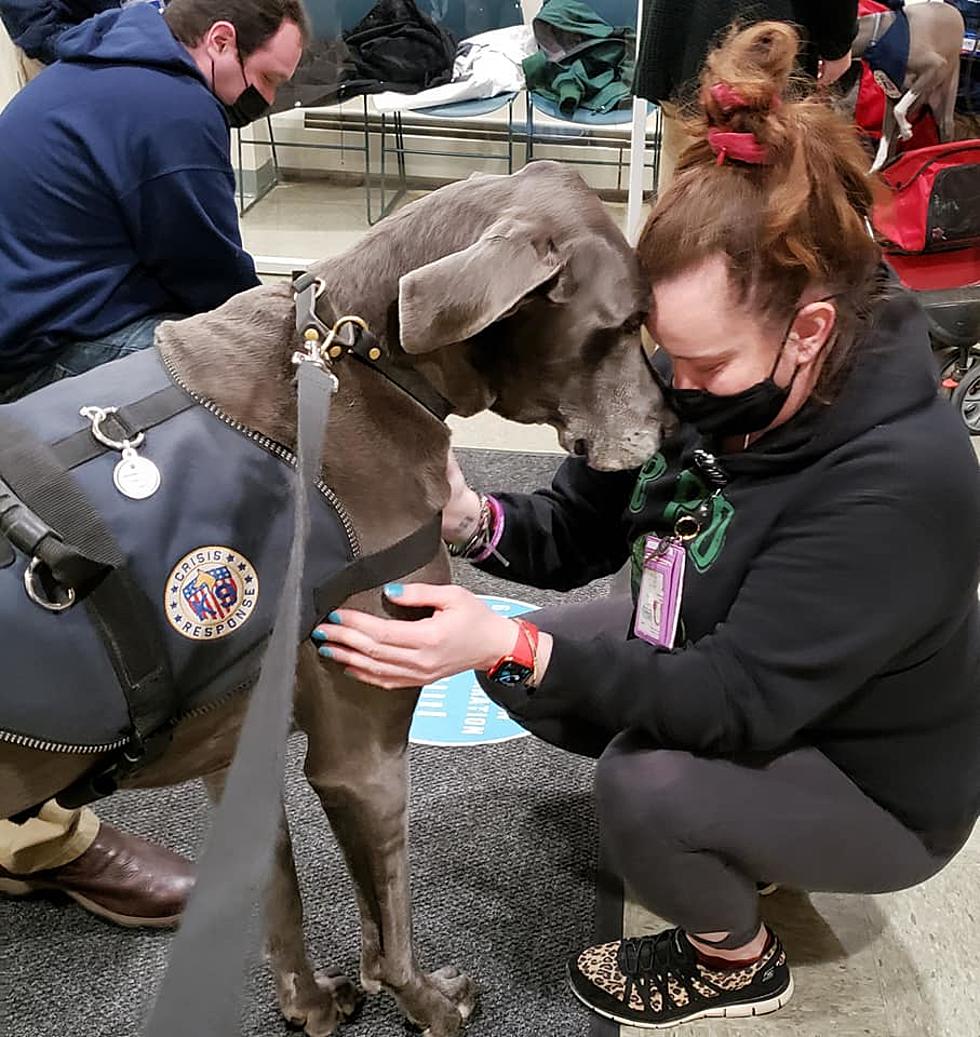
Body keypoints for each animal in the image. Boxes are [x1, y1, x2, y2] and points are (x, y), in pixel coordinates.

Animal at [0, 163, 667, 1037]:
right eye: (628, 325)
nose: (673, 421)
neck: (365, 363)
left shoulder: (237, 749)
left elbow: (279, 896)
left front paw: (309, 1002)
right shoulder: (364, 756)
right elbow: (388, 925)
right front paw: (428, 1003)